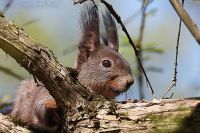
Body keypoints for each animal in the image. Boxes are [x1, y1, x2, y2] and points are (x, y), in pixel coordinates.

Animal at [10, 3, 134, 132]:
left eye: (127, 62)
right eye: (106, 63)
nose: (130, 81)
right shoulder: (43, 96)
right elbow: (39, 110)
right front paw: (53, 107)